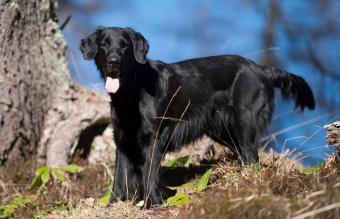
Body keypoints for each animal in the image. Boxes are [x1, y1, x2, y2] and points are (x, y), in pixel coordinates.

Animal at [80, 26, 316, 206]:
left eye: (125, 46)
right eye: (104, 45)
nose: (113, 61)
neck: (132, 92)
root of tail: (261, 69)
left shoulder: (154, 138)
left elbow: (149, 173)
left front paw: (153, 203)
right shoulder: (122, 139)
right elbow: (120, 177)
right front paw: (115, 204)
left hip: (244, 123)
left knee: (252, 158)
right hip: (224, 131)